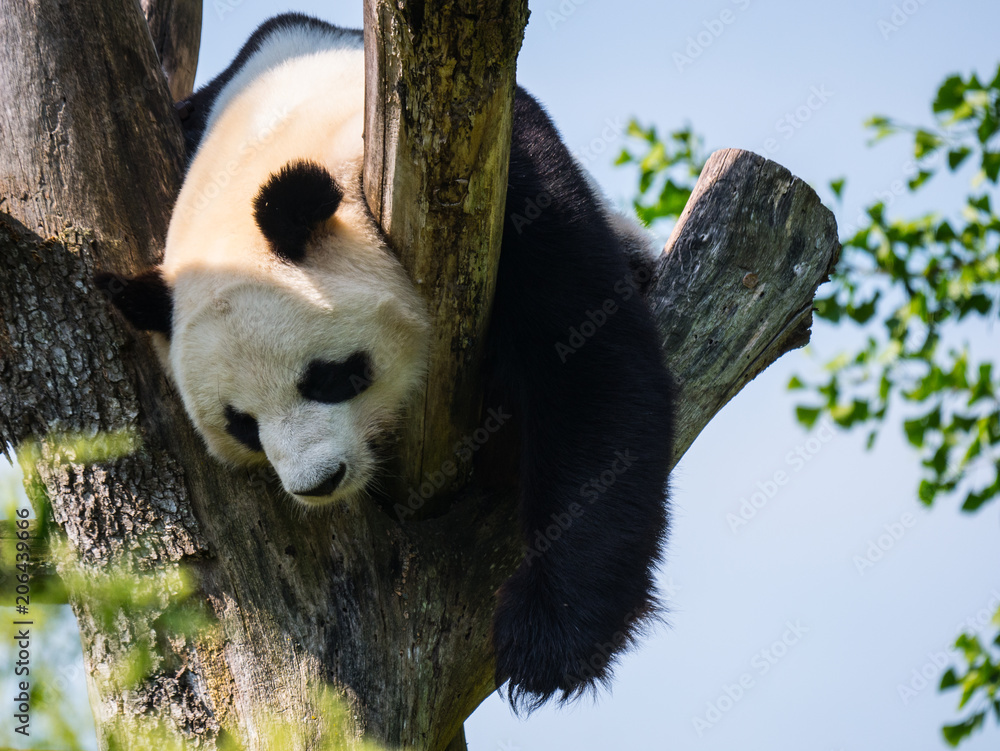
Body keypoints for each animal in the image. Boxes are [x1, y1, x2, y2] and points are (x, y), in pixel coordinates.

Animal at [97, 13, 674, 711]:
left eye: (328, 376)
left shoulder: (510, 178)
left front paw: (548, 641)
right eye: (242, 425)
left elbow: (585, 361)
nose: (318, 482)